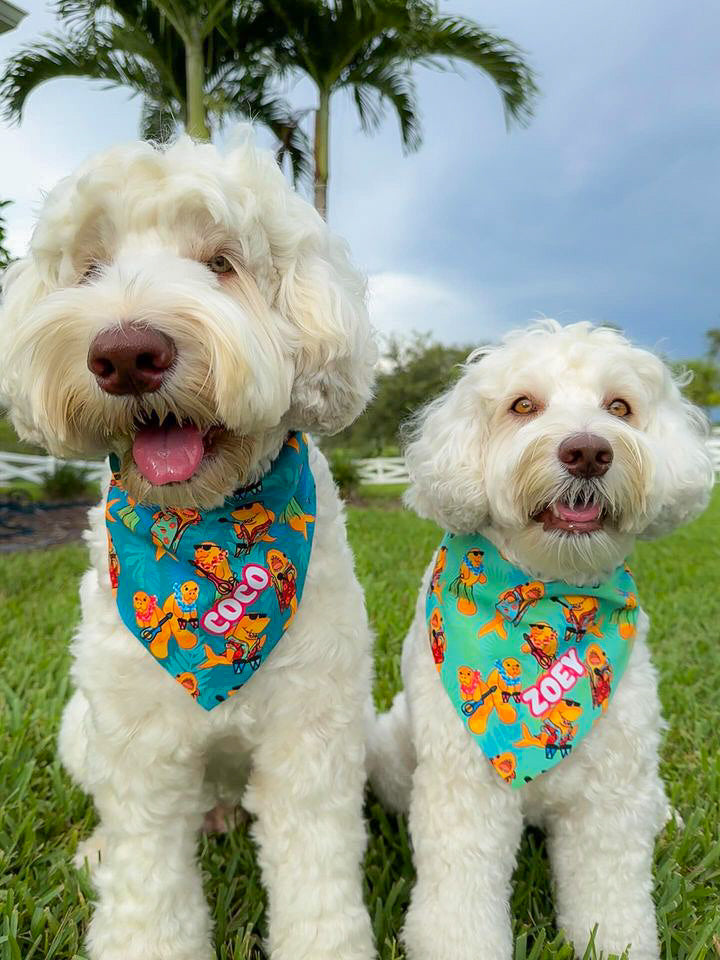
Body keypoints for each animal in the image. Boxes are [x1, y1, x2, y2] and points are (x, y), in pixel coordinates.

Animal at [0, 135, 380, 960]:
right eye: (89, 268)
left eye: (221, 261)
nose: (125, 354)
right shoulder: (140, 746)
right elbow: (148, 878)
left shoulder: (313, 739)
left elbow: (316, 874)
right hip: (82, 730)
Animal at [368, 320, 716, 960]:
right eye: (522, 405)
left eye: (619, 406)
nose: (588, 452)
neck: (547, 589)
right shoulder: (467, 785)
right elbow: (462, 890)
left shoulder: (610, 795)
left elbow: (610, 893)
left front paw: (614, 945)